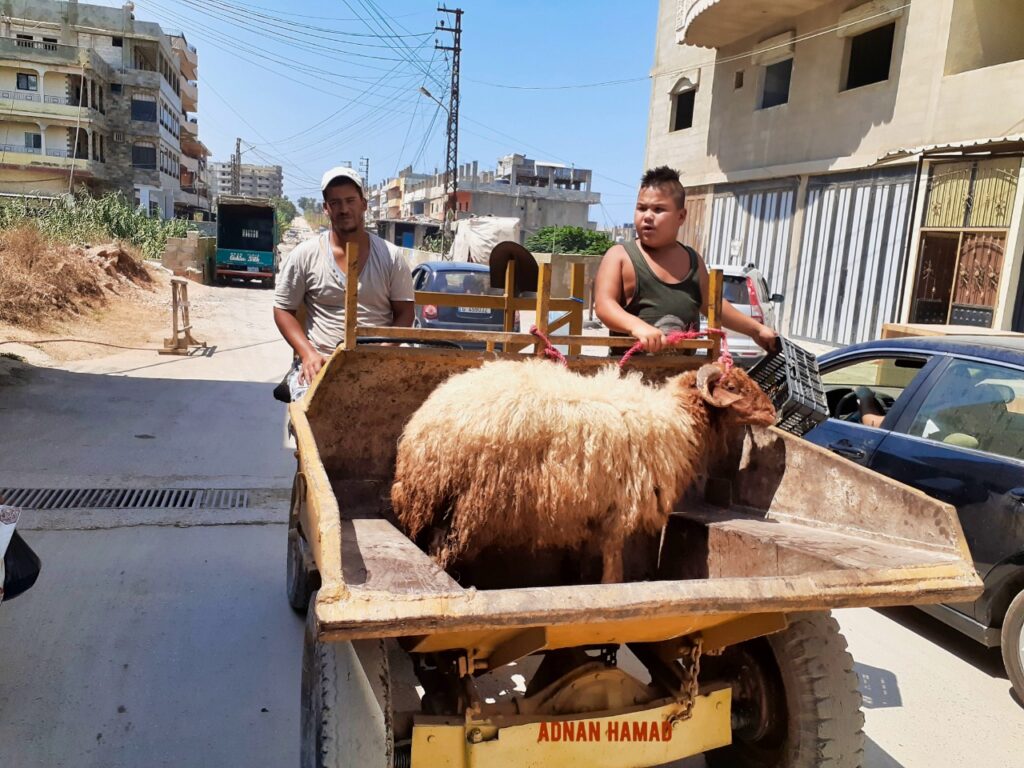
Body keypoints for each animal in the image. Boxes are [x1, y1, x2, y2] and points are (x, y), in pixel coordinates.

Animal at [391, 360, 774, 581]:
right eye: (733, 387)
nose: (773, 412)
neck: (676, 419)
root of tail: (426, 427)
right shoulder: (619, 514)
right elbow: (613, 572)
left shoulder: (592, 514)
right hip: (468, 506)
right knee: (441, 552)